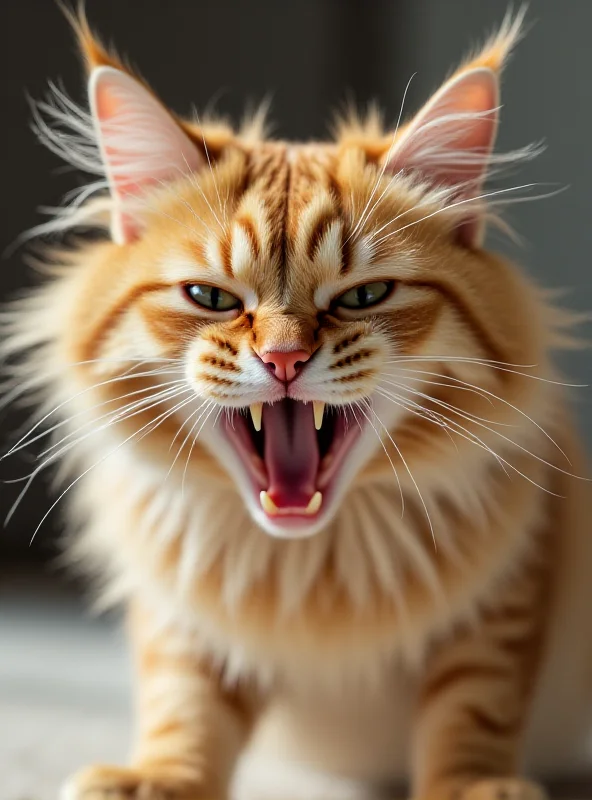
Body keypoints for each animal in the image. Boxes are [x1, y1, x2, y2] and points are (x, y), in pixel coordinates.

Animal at [2, 6, 588, 800]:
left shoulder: (510, 587)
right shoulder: (179, 614)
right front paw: (154, 778)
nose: (284, 359)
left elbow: (472, 708)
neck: (311, 564)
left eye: (364, 296)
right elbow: (183, 706)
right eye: (212, 298)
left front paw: (475, 788)